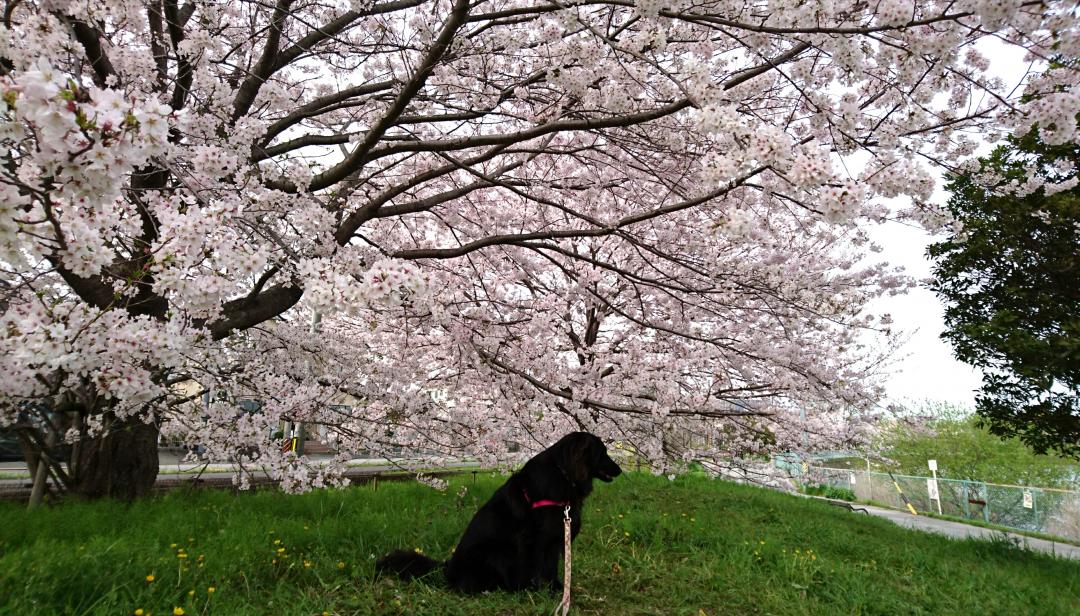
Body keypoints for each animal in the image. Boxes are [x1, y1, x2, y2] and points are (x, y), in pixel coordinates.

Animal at [375, 430, 622, 592]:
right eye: (602, 453)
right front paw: (531, 591)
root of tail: (448, 569)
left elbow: (551, 568)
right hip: (497, 553)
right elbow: (533, 568)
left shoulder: (555, 538)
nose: (619, 470)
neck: (563, 474)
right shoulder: (533, 539)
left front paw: (557, 590)